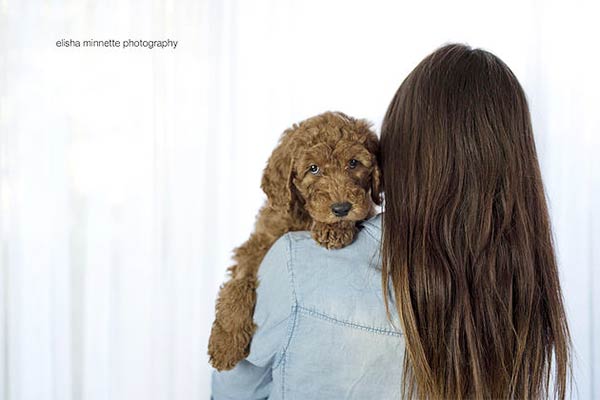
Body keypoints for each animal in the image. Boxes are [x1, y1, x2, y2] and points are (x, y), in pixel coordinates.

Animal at [209, 111, 382, 370]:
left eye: (353, 163)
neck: (303, 217)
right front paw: (225, 342)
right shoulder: (256, 247)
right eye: (313, 168)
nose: (341, 208)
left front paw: (333, 228)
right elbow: (238, 284)